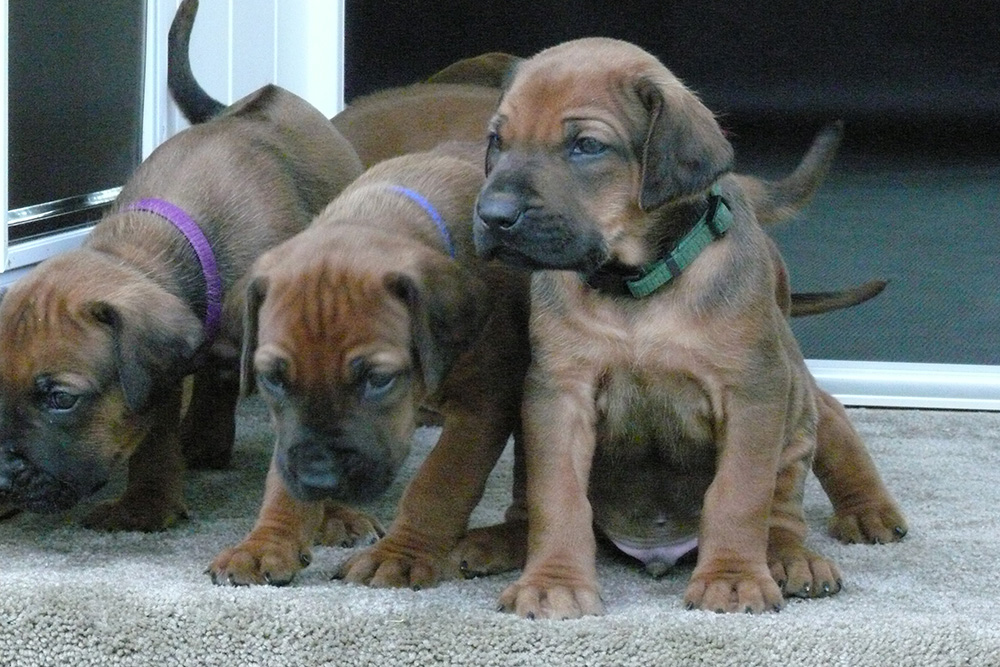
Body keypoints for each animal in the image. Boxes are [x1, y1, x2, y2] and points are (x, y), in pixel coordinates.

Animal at [0, 2, 365, 532]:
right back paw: (204, 440)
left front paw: (336, 511)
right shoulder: (159, 369)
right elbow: (152, 431)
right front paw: (147, 504)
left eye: (61, 398)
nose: (3, 477)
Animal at [206, 141, 533, 586]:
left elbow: (440, 482)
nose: (320, 477)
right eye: (272, 379)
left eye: (378, 380)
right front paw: (265, 544)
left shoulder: (484, 403)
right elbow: (282, 476)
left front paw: (400, 554)